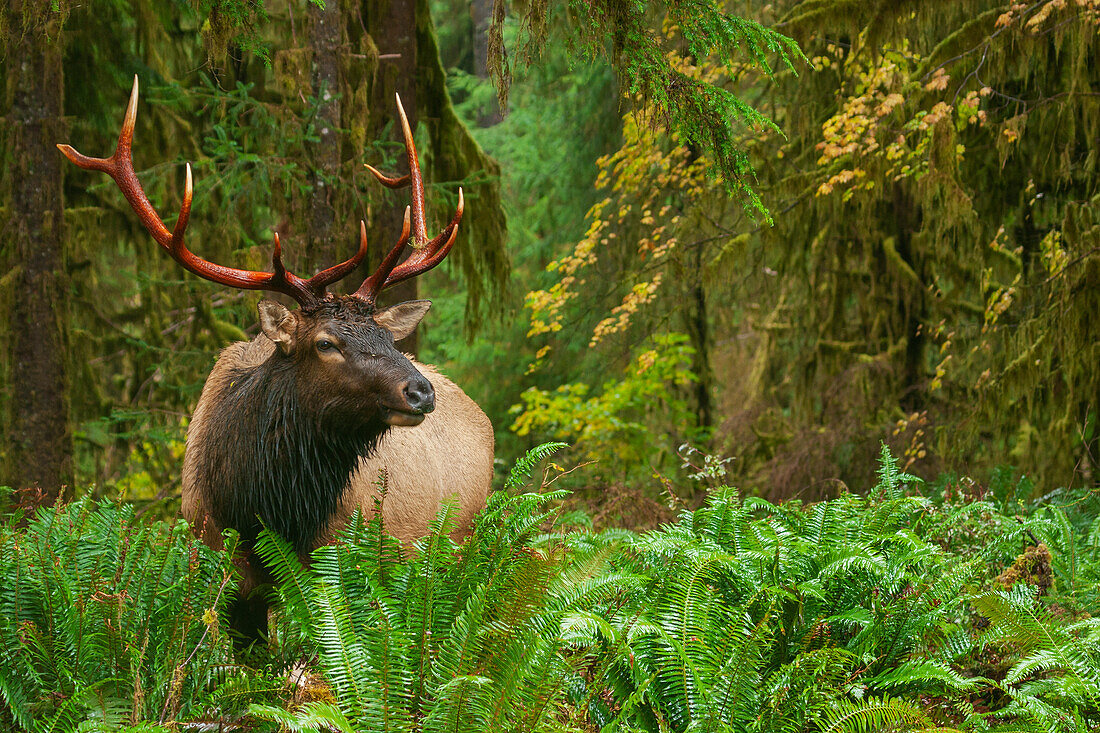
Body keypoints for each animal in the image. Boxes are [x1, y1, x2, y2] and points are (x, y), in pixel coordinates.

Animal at [58, 77, 492, 642]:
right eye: (326, 343)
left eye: (388, 337)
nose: (420, 390)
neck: (260, 507)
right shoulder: (221, 569)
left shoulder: (338, 567)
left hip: (451, 546)